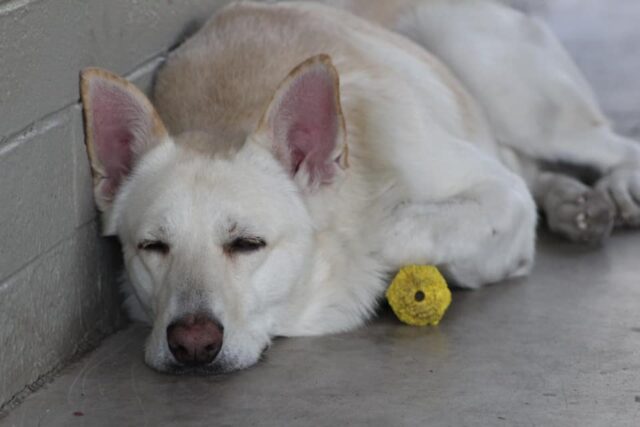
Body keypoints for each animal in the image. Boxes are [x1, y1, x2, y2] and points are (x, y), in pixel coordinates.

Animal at [79, 0, 640, 374]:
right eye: (153, 247)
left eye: (247, 244)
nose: (192, 343)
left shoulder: (501, 195)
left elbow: (401, 225)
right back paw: (575, 203)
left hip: (504, 88)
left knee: (611, 146)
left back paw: (616, 190)